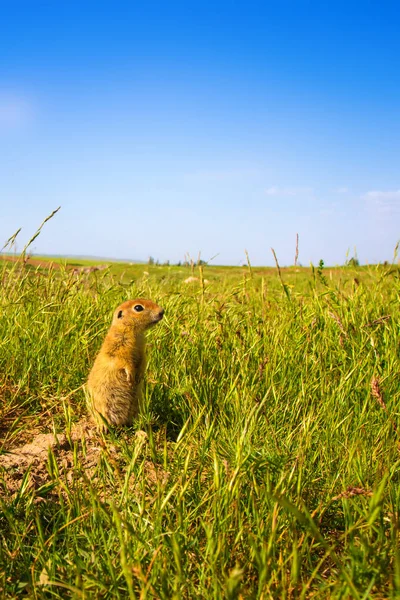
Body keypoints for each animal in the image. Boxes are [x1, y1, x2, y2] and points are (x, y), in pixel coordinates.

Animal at [86, 298, 164, 428]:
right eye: (138, 308)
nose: (162, 311)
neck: (134, 332)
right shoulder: (118, 346)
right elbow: (123, 361)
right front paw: (131, 376)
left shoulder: (142, 349)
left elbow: (143, 360)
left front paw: (140, 375)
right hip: (101, 402)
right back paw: (103, 426)